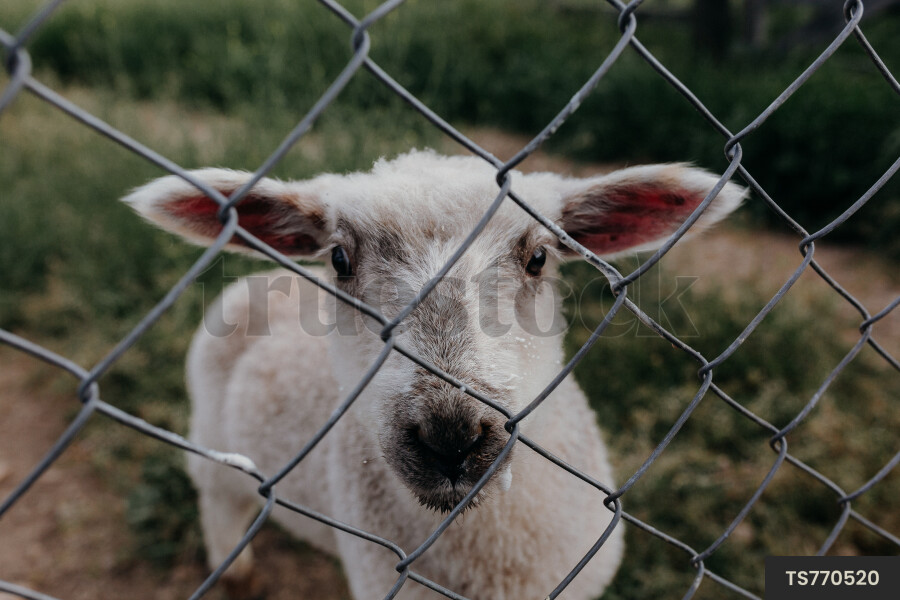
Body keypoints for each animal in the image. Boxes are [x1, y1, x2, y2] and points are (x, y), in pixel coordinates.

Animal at [123, 150, 745, 600]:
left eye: (538, 258)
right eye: (339, 259)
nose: (451, 436)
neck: (492, 559)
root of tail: (255, 283)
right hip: (212, 443)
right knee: (219, 504)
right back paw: (238, 575)